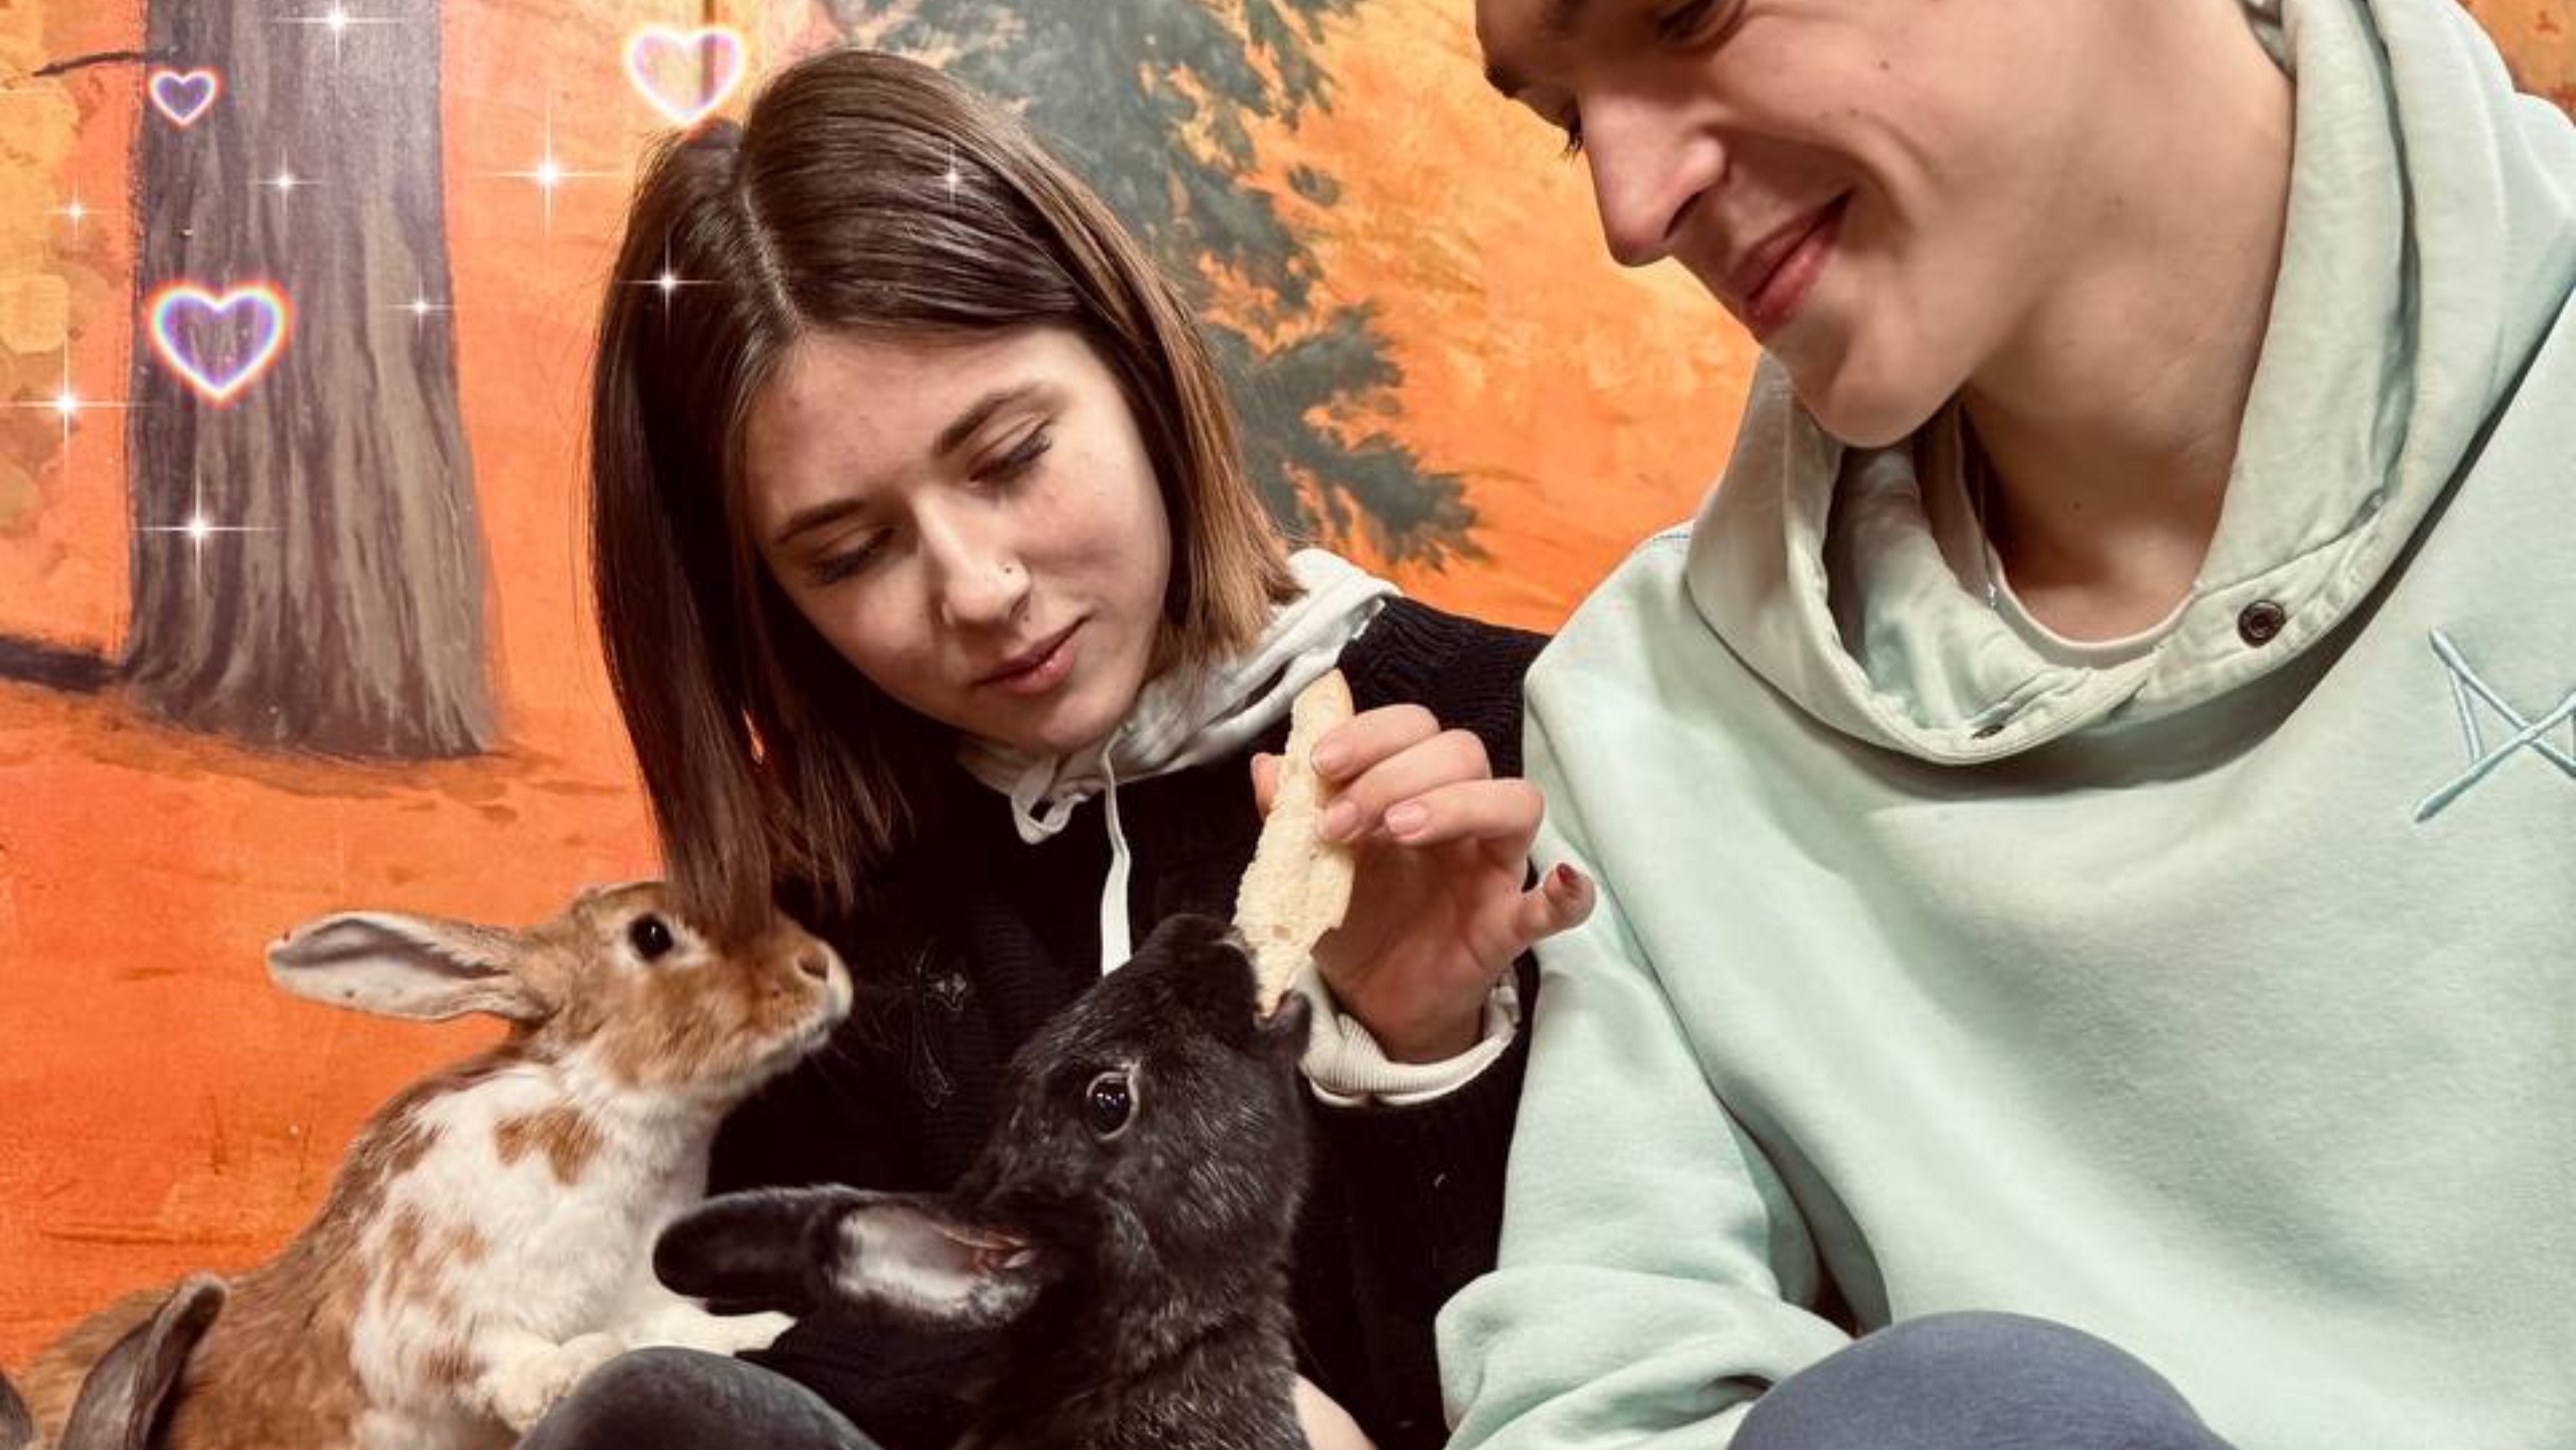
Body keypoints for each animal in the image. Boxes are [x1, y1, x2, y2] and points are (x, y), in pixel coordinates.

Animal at [18, 881, 852, 1450]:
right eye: (652, 934)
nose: (825, 967)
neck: (599, 1101)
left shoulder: (642, 1296)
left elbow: (685, 1328)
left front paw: (769, 1325)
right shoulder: (430, 1310)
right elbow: (493, 1354)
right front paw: (568, 1369)